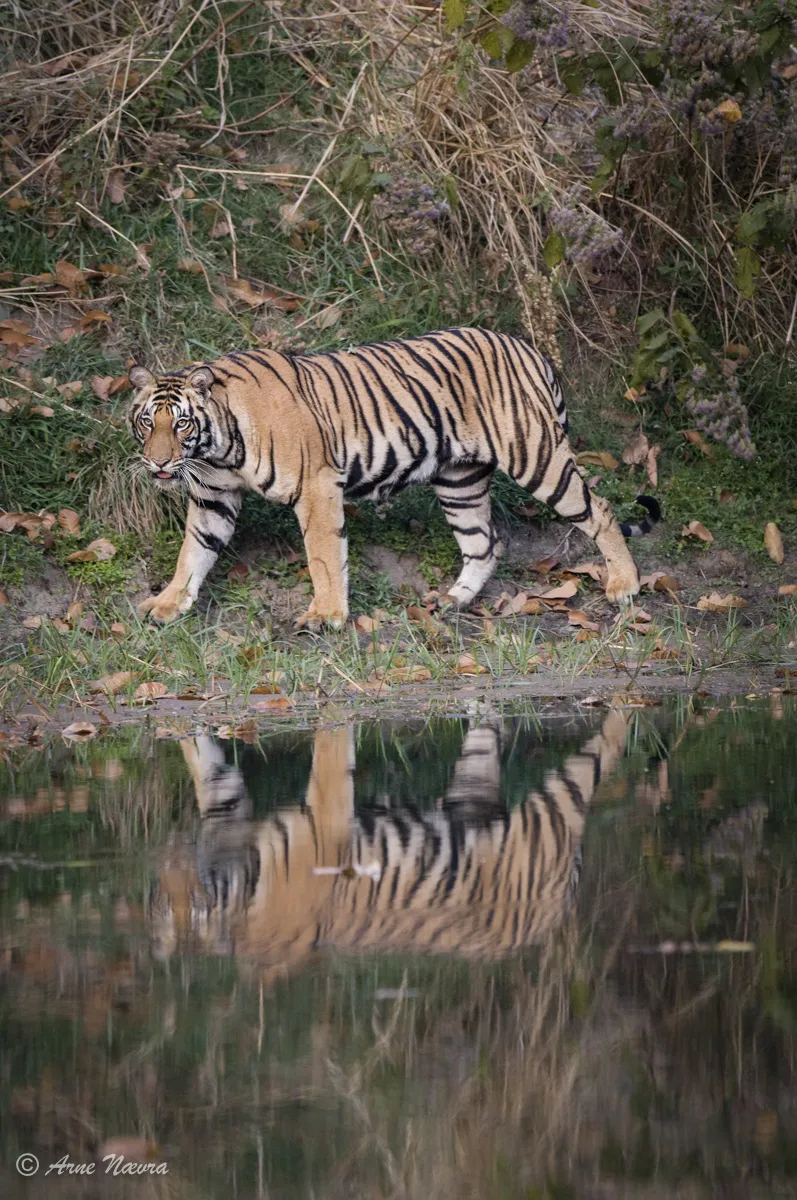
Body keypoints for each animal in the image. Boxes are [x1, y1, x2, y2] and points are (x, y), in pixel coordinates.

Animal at [129, 328, 659, 629]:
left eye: (181, 423)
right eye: (147, 422)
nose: (158, 464)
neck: (218, 449)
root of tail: (529, 349)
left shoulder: (317, 487)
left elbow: (324, 555)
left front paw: (326, 615)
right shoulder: (212, 498)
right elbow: (193, 553)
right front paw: (167, 604)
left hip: (536, 456)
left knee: (599, 509)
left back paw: (624, 584)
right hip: (460, 479)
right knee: (483, 542)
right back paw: (452, 601)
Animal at [148, 708, 629, 976]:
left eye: (197, 903)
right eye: (160, 899)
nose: (167, 858)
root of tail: (556, 913)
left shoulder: (324, 815)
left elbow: (329, 759)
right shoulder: (228, 816)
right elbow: (209, 771)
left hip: (554, 809)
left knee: (603, 753)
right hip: (474, 794)